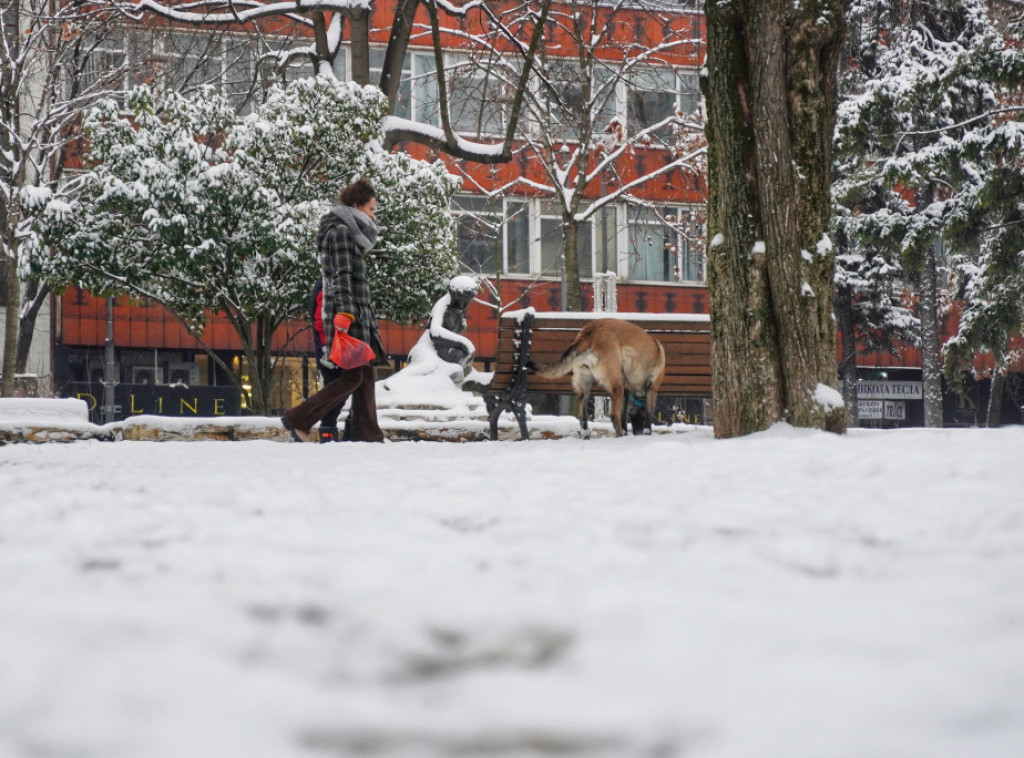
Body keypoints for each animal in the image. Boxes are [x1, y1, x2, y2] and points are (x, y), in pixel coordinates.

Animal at [532, 319, 667, 438]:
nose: (637, 433)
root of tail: (589, 332)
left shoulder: (626, 392)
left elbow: (623, 416)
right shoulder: (651, 388)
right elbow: (648, 417)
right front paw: (645, 433)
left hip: (585, 386)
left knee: (583, 418)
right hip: (617, 384)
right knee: (614, 416)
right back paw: (620, 437)